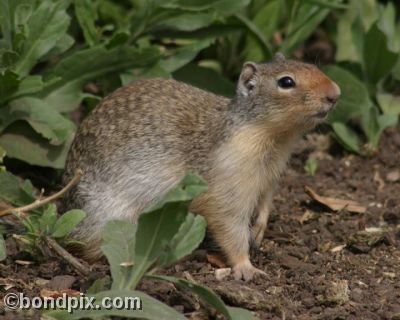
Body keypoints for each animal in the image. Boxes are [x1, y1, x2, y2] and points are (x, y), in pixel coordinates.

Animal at [62, 53, 340, 282]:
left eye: (310, 65)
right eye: (286, 82)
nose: (335, 93)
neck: (272, 138)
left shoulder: (269, 179)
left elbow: (264, 204)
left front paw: (259, 229)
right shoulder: (226, 189)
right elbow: (230, 229)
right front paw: (246, 267)